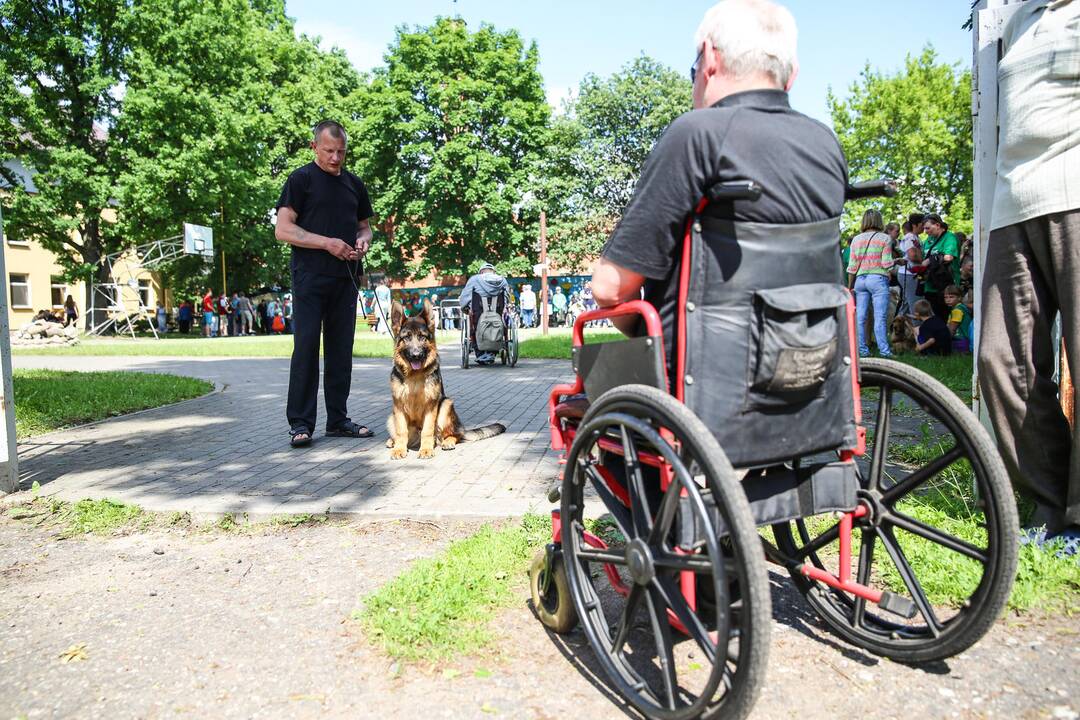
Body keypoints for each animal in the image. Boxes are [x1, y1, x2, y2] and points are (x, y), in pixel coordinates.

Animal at [388, 300, 505, 459]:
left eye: (422, 337)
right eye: (406, 338)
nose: (416, 355)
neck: (414, 376)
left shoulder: (431, 406)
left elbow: (427, 431)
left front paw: (426, 449)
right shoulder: (398, 406)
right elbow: (401, 431)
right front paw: (399, 449)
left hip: (446, 405)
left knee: (454, 435)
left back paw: (447, 442)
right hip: (391, 417)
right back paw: (392, 441)